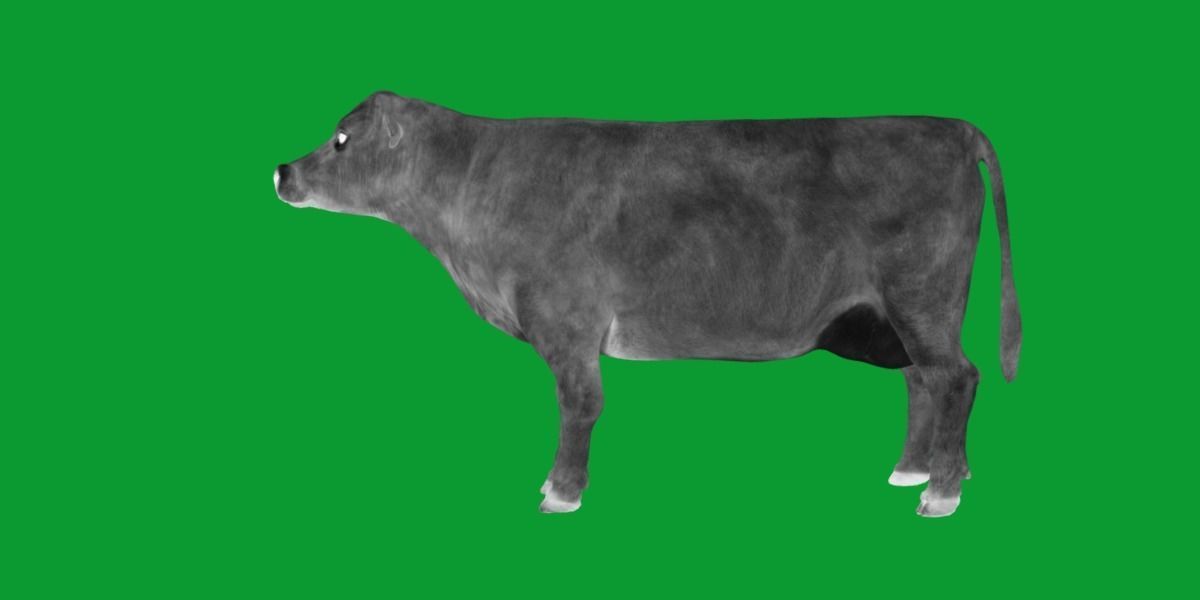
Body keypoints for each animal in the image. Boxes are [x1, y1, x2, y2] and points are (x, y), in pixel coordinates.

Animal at [274, 91, 1021, 517]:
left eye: (341, 139)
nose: (282, 170)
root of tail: (952, 128)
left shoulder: (568, 322)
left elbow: (581, 404)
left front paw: (561, 492)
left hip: (921, 296)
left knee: (957, 377)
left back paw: (942, 491)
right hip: (893, 315)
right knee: (923, 380)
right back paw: (917, 469)